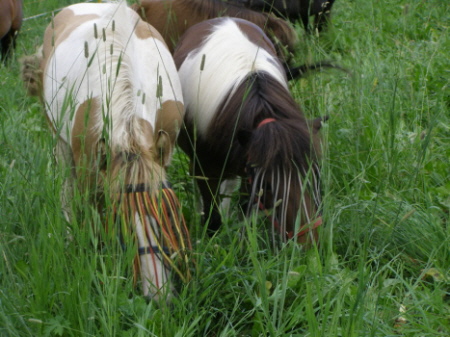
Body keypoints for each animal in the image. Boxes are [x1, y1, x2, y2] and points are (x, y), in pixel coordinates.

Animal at [31, 1, 190, 300]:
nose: (158, 294)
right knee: (66, 188)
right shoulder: (89, 171)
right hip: (60, 141)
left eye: (166, 212)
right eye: (120, 221)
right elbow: (92, 215)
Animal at [172, 17, 324, 244]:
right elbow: (212, 214)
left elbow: (245, 210)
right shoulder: (205, 169)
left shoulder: (247, 167)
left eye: (314, 176)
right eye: (268, 186)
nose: (308, 239)